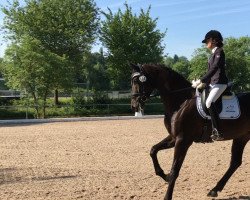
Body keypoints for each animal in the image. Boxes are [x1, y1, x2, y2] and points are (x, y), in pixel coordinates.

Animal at [130, 63, 249, 200]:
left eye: (137, 81)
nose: (134, 105)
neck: (181, 102)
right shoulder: (174, 138)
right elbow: (153, 150)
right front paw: (165, 176)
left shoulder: (183, 140)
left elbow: (175, 170)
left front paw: (167, 195)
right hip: (241, 137)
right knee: (235, 162)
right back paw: (214, 190)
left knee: (235, 162)